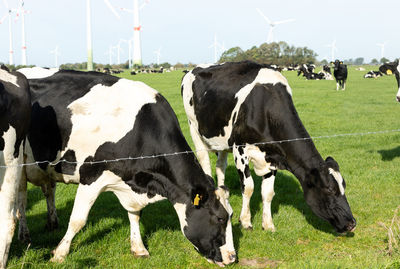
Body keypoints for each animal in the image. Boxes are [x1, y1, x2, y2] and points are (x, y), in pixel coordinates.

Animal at [19, 70, 238, 264]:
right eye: (219, 218)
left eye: (231, 216)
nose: (232, 258)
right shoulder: (91, 176)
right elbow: (77, 220)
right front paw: (59, 253)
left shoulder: (131, 181)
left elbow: (135, 215)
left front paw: (139, 248)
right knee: (21, 199)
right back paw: (24, 235)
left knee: (48, 191)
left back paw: (51, 222)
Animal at [181, 60, 356, 232]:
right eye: (329, 190)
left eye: (344, 186)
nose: (352, 223)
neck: (265, 108)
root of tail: (192, 70)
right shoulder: (240, 150)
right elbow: (248, 187)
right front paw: (246, 221)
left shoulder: (274, 156)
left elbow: (268, 192)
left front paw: (268, 224)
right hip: (193, 128)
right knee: (205, 161)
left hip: (222, 139)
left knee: (220, 166)